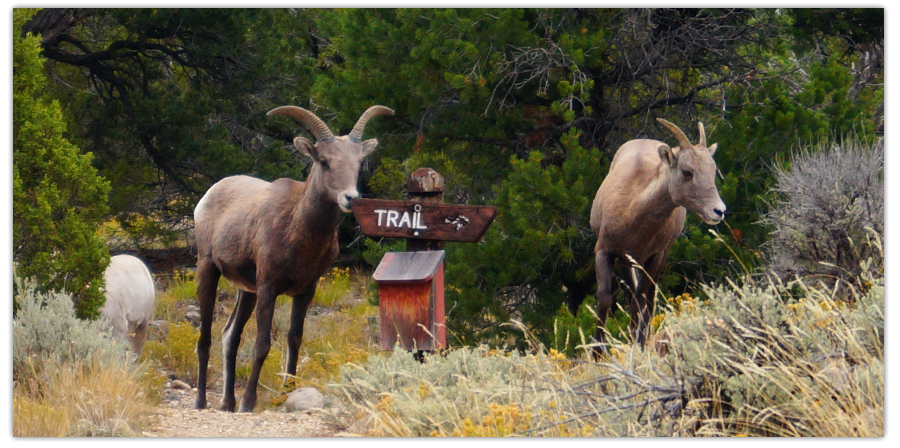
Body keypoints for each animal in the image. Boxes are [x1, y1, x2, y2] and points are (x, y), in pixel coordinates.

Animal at [192, 103, 392, 412]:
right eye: (324, 161)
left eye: (359, 162)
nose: (351, 198)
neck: (298, 232)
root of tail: (208, 195)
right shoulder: (268, 287)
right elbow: (262, 344)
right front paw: (249, 403)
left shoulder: (306, 290)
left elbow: (294, 339)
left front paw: (287, 393)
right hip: (208, 269)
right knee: (206, 338)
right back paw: (202, 401)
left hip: (246, 291)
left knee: (230, 336)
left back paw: (227, 403)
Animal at [588, 118, 728, 350]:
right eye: (687, 172)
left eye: (713, 170)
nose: (719, 211)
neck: (630, 213)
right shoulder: (606, 252)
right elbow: (604, 299)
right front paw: (597, 352)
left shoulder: (654, 256)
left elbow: (641, 300)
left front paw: (637, 346)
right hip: (627, 263)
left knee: (647, 300)